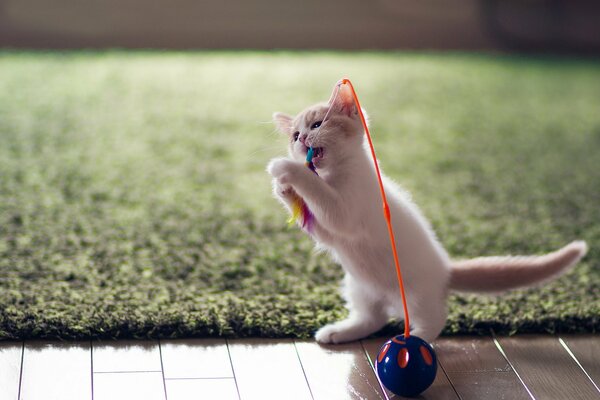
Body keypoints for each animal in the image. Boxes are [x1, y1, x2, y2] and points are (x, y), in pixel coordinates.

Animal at [264, 85, 588, 344]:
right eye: (295, 134)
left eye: (317, 124)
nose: (301, 139)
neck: (337, 173)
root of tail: (445, 270)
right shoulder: (330, 233)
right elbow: (318, 225)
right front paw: (284, 189)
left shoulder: (345, 211)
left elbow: (318, 191)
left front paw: (286, 169)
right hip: (358, 286)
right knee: (372, 319)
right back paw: (339, 332)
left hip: (416, 296)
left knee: (434, 318)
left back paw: (417, 339)